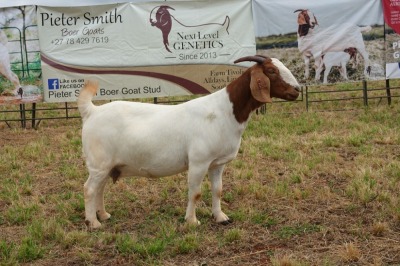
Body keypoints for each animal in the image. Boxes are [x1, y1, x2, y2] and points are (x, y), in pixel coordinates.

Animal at [77, 54, 300, 229]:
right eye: (271, 70)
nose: (297, 89)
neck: (225, 111)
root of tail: (92, 111)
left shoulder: (217, 163)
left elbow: (218, 190)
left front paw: (221, 217)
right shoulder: (199, 162)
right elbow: (195, 193)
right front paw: (192, 221)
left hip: (107, 165)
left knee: (100, 189)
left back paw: (104, 215)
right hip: (99, 163)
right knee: (89, 189)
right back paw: (93, 223)